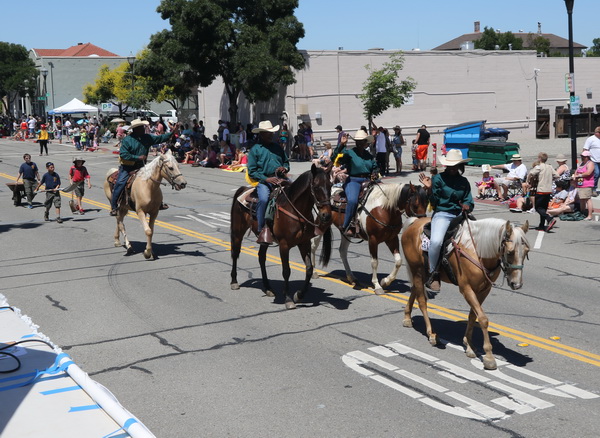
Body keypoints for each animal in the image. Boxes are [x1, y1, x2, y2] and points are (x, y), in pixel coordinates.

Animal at [230, 164, 333, 310]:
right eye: (317, 186)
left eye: (330, 185)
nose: (326, 215)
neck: (295, 210)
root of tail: (243, 189)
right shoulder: (284, 245)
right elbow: (286, 271)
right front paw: (288, 299)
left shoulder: (304, 243)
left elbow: (309, 269)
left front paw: (299, 295)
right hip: (237, 231)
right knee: (235, 253)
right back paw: (234, 281)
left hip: (264, 240)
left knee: (261, 258)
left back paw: (268, 288)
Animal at [401, 216, 530, 370]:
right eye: (510, 252)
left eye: (527, 251)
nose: (517, 284)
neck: (478, 251)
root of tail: (414, 222)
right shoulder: (466, 288)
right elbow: (483, 319)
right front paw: (489, 357)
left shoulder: (484, 290)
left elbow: (473, 316)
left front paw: (469, 344)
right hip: (417, 271)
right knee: (422, 301)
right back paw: (431, 334)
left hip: (421, 273)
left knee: (414, 290)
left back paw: (407, 318)